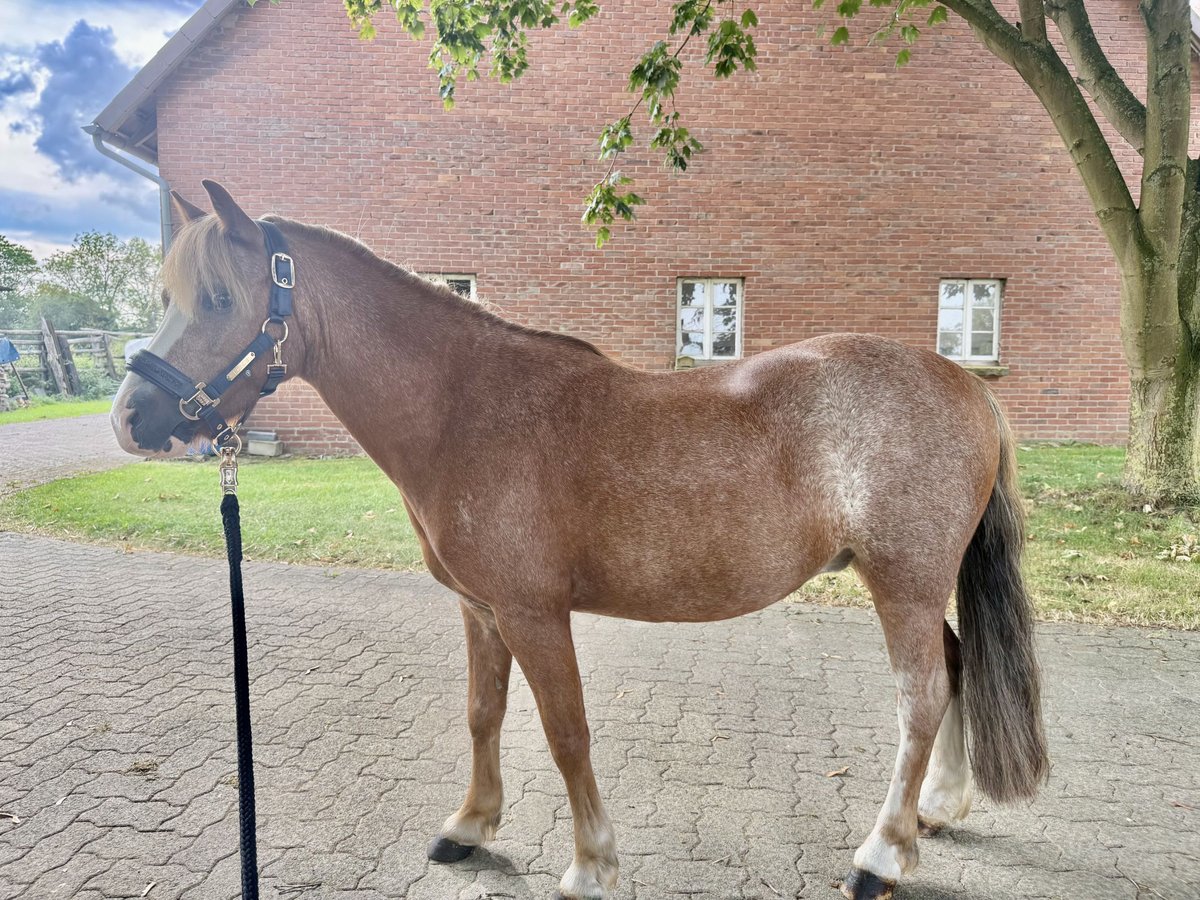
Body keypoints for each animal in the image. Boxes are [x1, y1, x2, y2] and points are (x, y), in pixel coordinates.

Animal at [110, 180, 1048, 900]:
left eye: (220, 298)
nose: (131, 420)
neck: (464, 409)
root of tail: (965, 381)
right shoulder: (482, 610)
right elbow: (483, 713)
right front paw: (469, 825)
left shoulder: (534, 614)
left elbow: (566, 734)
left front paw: (592, 866)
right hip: (914, 586)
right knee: (955, 667)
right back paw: (935, 810)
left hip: (903, 582)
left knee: (921, 695)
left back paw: (881, 855)